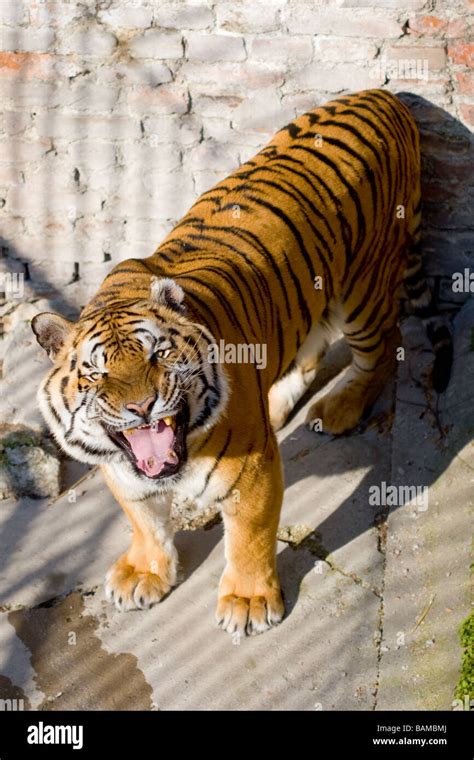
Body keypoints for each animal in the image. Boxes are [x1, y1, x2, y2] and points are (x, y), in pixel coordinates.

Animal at [31, 89, 454, 636]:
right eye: (97, 374)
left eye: (159, 355)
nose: (142, 408)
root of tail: (388, 95)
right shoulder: (121, 472)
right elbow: (143, 521)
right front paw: (146, 572)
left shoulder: (251, 473)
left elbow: (249, 536)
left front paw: (249, 602)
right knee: (310, 349)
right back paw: (275, 406)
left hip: (362, 289)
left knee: (386, 343)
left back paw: (341, 407)